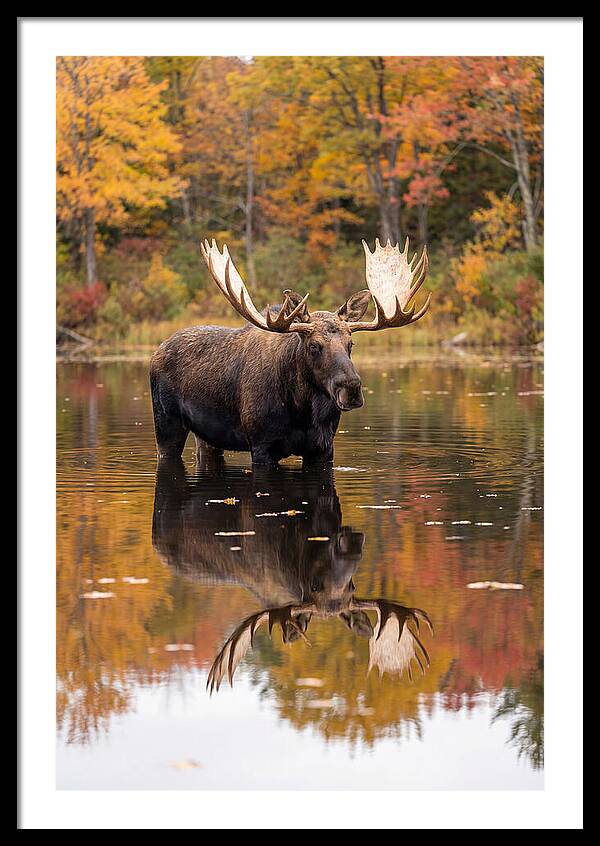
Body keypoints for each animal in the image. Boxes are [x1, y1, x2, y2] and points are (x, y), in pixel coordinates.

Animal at [149, 237, 430, 466]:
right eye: (314, 345)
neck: (301, 410)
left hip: (207, 436)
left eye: (351, 344)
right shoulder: (261, 445)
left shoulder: (323, 448)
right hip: (166, 424)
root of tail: (157, 350)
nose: (350, 388)